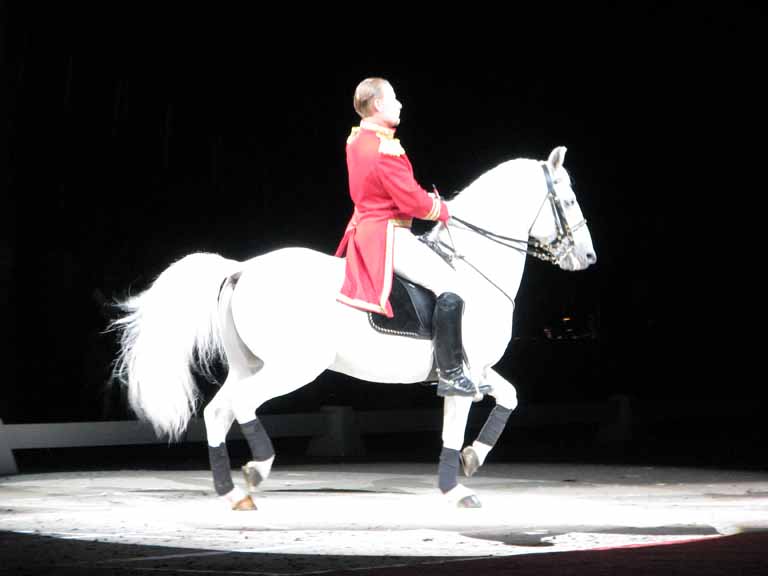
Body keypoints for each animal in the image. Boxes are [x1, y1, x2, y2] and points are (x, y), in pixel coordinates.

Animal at [111, 146, 596, 510]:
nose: (588, 258)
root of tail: (242, 269)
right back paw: (257, 468)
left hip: (250, 364)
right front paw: (456, 490)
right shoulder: (462, 377)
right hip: (294, 367)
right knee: (243, 404)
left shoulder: (471, 370)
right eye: (570, 200)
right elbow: (454, 429)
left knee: (218, 410)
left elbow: (510, 397)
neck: (472, 264)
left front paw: (474, 458)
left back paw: (232, 493)